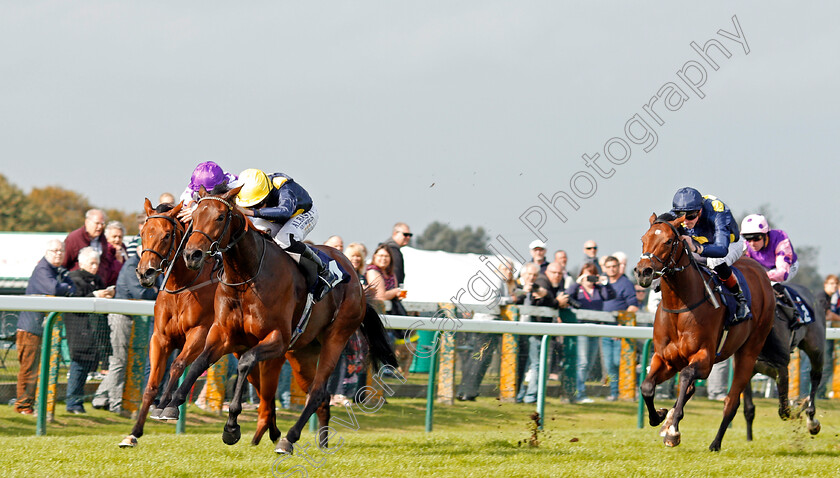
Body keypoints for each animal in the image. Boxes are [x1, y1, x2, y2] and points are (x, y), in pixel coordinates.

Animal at [153, 185, 398, 454]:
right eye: (195, 217)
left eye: (220, 217)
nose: (192, 255)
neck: (246, 277)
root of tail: (356, 277)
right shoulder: (223, 334)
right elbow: (199, 363)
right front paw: (169, 406)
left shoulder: (277, 339)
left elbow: (245, 363)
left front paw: (232, 427)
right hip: (302, 353)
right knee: (320, 395)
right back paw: (322, 441)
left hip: (336, 337)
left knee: (317, 390)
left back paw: (288, 439)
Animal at [636, 213, 776, 452]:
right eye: (643, 239)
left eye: (668, 241)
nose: (643, 271)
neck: (681, 305)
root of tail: (760, 272)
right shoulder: (665, 359)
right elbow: (647, 386)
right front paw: (660, 416)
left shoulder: (705, 358)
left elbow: (686, 376)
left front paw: (673, 430)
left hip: (749, 352)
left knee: (731, 401)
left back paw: (715, 443)